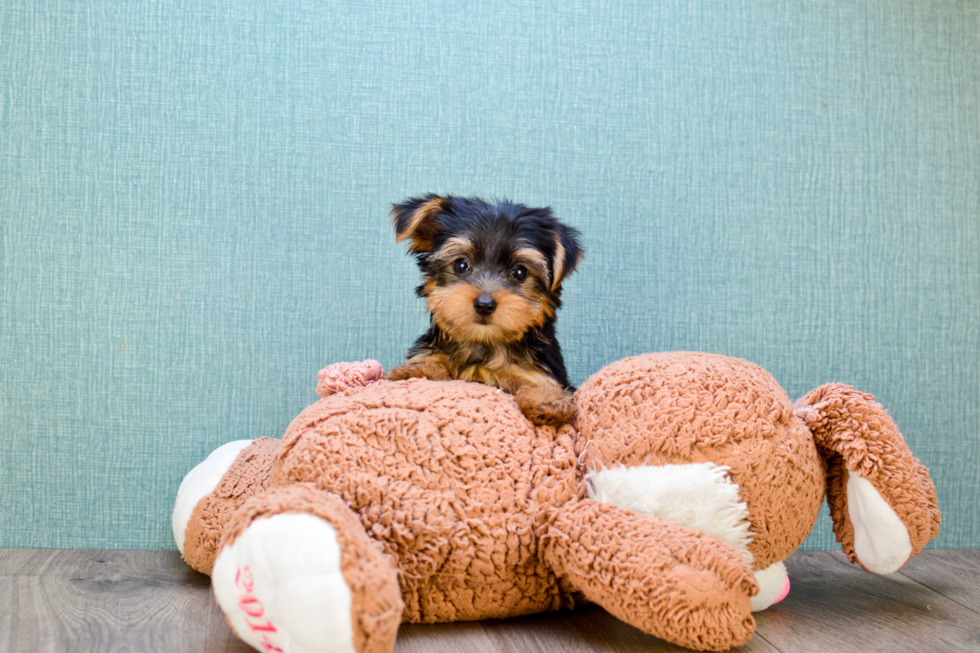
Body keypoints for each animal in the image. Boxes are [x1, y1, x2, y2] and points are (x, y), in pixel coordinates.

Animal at [384, 192, 580, 428]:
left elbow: (541, 384)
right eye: (461, 265)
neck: (484, 344)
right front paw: (417, 370)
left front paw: (547, 401)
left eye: (520, 272)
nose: (484, 304)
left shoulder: (537, 372)